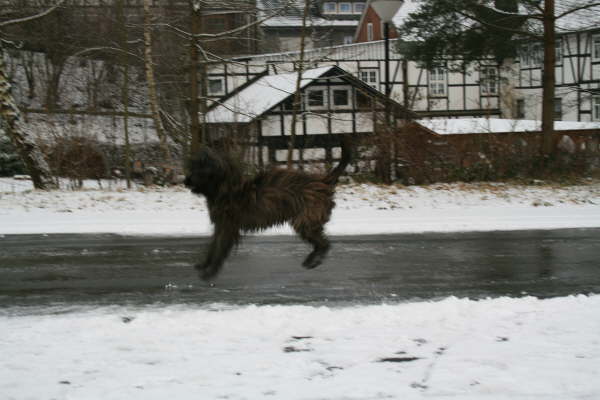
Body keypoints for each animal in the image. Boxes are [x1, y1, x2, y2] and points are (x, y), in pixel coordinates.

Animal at [185, 142, 350, 280]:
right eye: (193, 167)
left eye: (200, 170)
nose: (186, 180)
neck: (226, 189)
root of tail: (323, 181)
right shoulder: (220, 226)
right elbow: (212, 247)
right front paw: (204, 264)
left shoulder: (228, 227)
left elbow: (219, 250)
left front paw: (210, 272)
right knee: (322, 243)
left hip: (305, 220)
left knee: (324, 244)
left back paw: (312, 261)